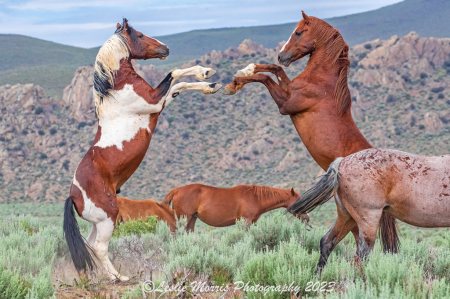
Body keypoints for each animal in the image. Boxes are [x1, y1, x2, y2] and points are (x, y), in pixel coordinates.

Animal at [64, 18, 222, 282]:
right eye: (139, 34)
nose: (165, 48)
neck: (117, 88)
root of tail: (73, 196)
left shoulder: (160, 102)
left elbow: (179, 85)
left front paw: (210, 81)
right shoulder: (155, 102)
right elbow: (175, 75)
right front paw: (206, 74)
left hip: (98, 223)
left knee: (91, 245)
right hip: (108, 219)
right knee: (100, 247)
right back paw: (120, 278)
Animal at [161, 184, 310, 233]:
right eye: (299, 200)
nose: (307, 218)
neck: (255, 197)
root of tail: (177, 190)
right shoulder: (246, 222)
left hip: (192, 218)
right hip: (184, 217)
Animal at [223, 12, 400, 255]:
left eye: (298, 32)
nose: (282, 55)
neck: (322, 81)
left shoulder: (285, 103)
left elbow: (265, 78)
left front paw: (234, 83)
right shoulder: (287, 89)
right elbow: (275, 70)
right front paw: (245, 71)